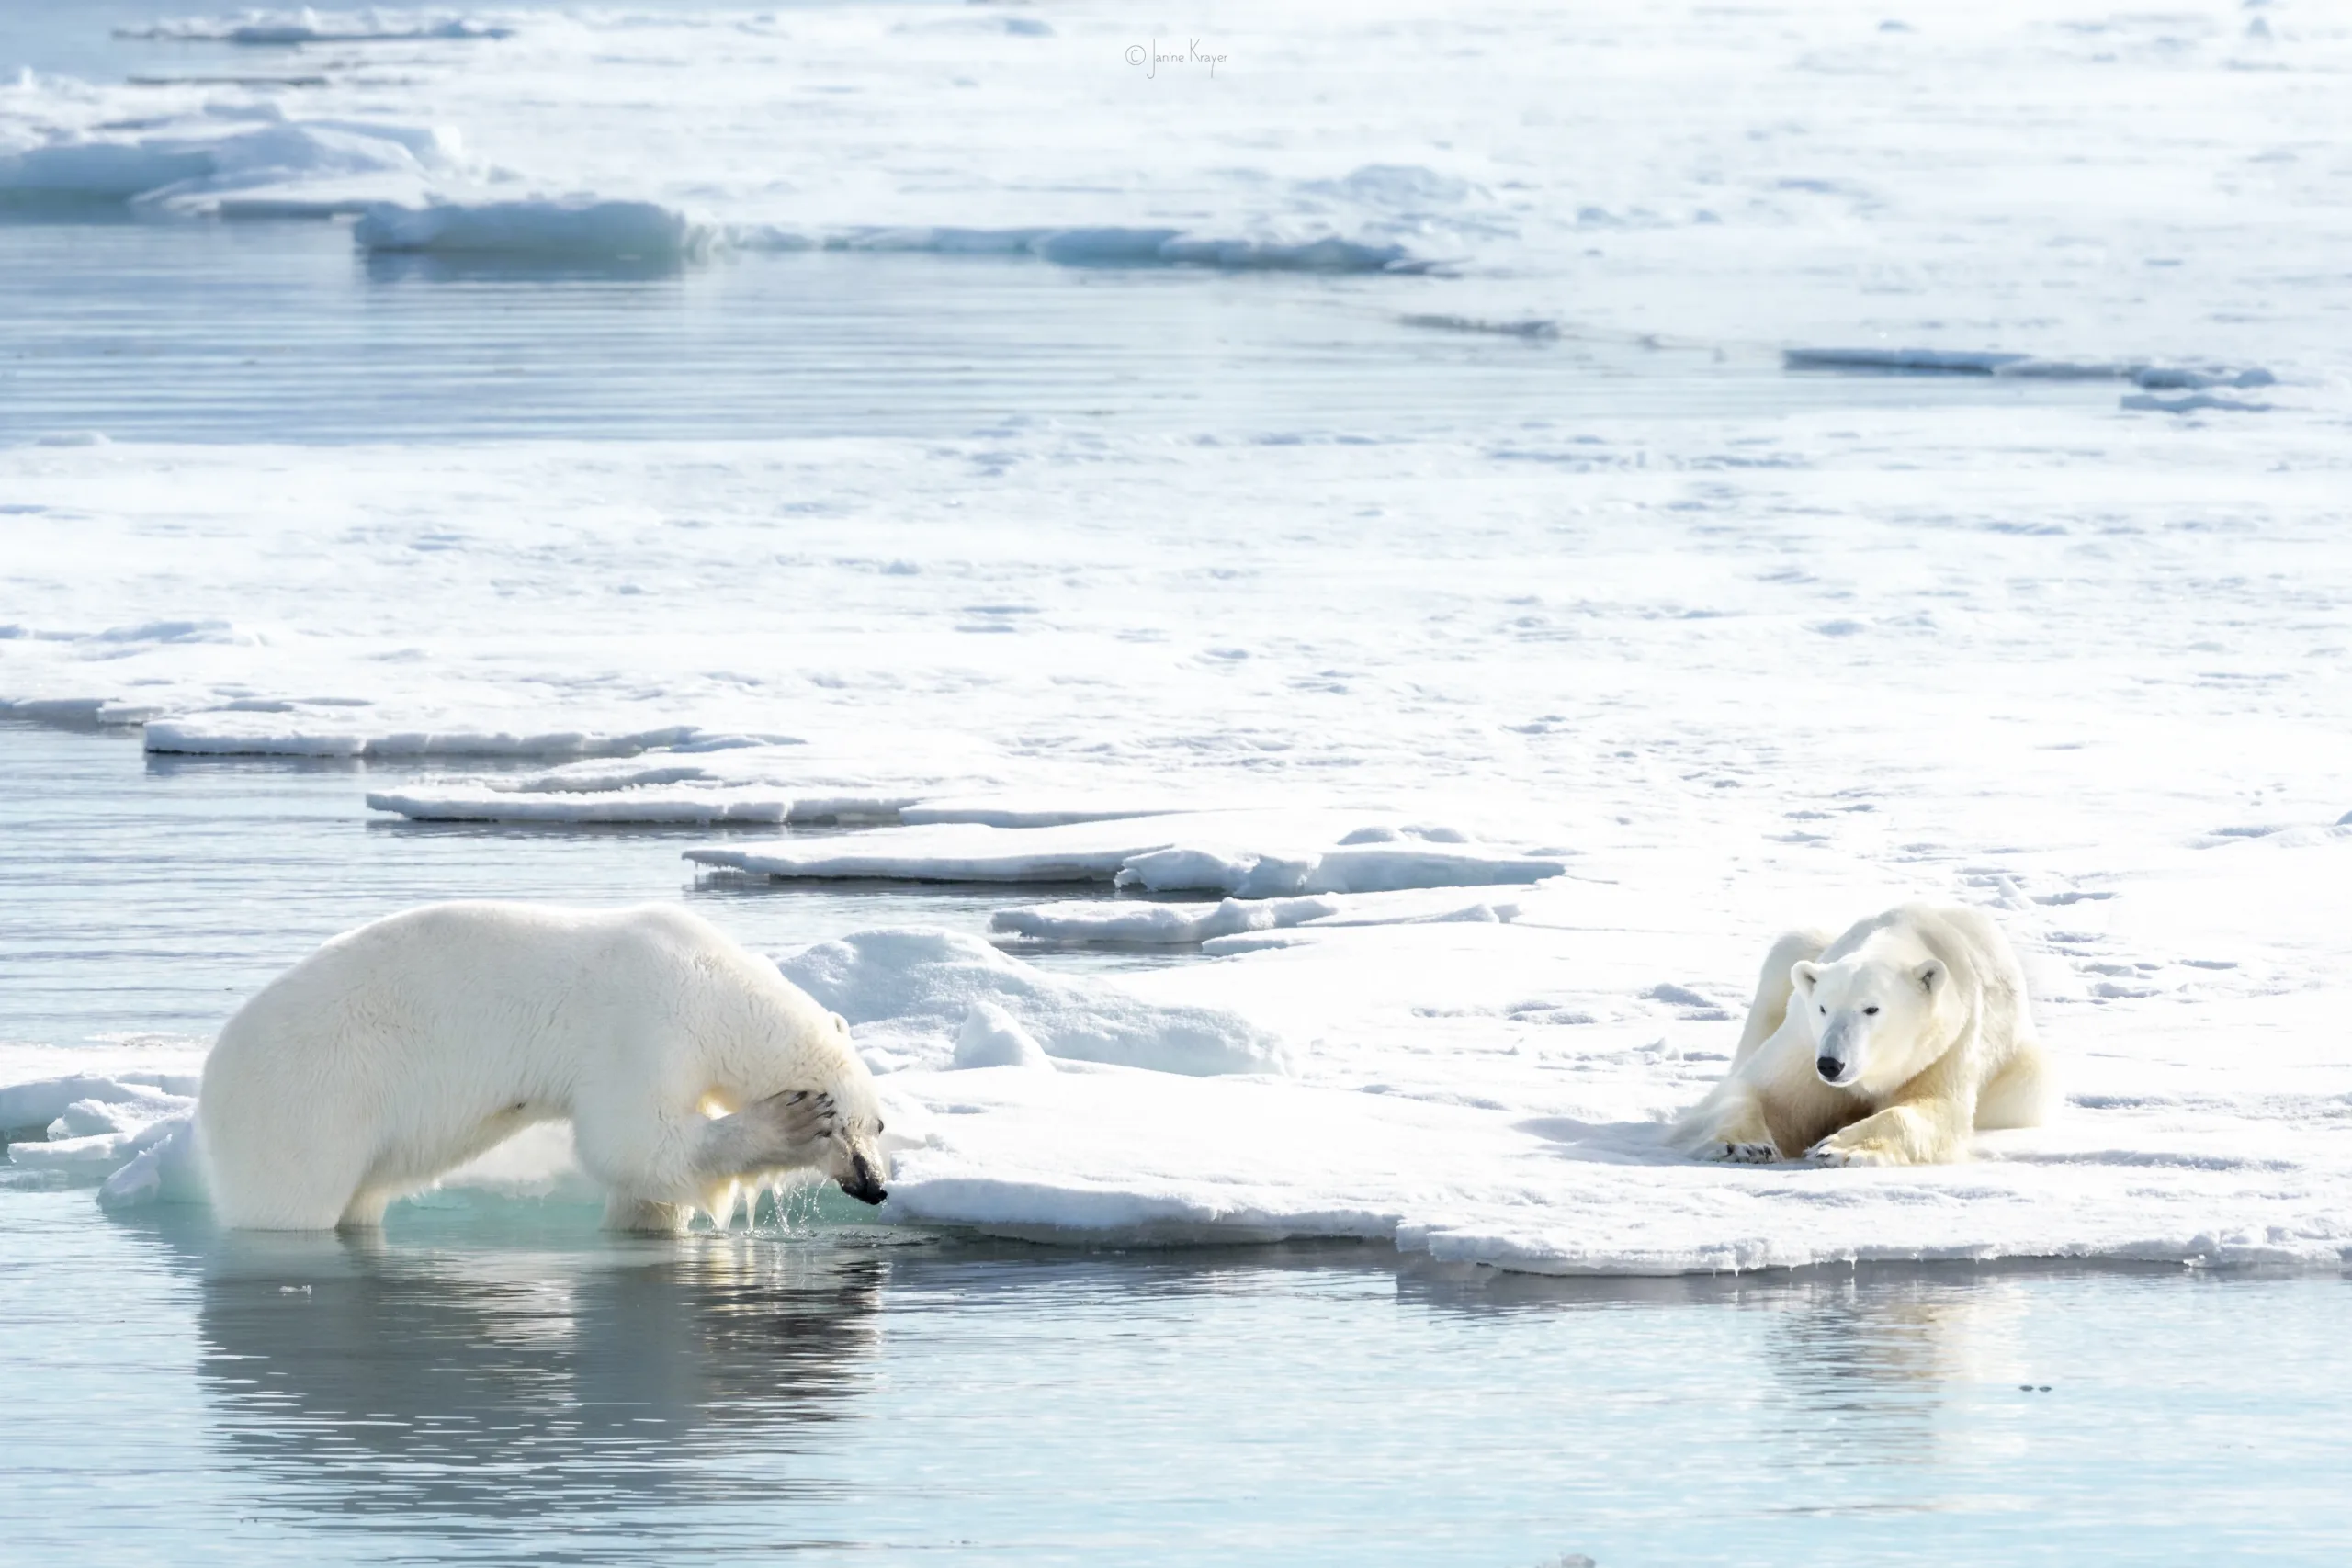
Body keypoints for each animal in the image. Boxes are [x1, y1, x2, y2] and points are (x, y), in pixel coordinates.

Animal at [196, 901, 891, 1231]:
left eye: (879, 1125)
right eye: (846, 1126)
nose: (876, 1185)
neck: (710, 982)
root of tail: (213, 1075)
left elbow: (649, 1181)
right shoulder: (642, 1026)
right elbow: (631, 1141)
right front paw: (787, 1121)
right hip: (311, 1099)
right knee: (289, 1199)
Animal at [1668, 902, 2052, 1166]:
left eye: (1871, 1009)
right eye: (1823, 1007)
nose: (1830, 1064)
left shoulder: (1945, 1047)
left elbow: (1935, 1111)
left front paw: (1837, 1148)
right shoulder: (1804, 1043)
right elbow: (1758, 1092)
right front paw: (1746, 1145)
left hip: (2021, 1077)